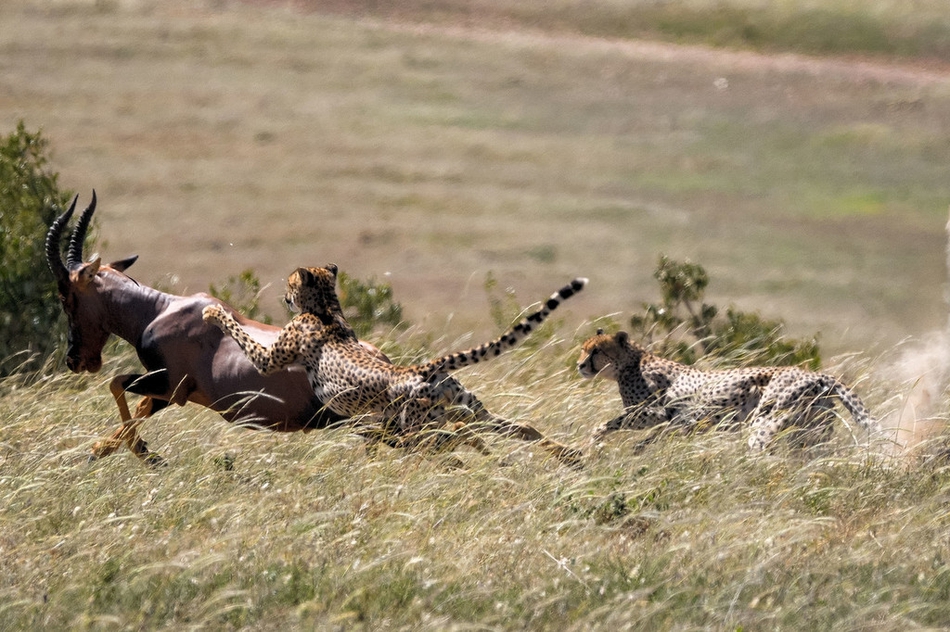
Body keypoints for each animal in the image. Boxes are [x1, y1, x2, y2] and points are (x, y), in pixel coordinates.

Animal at [45, 193, 372, 464]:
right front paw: (104, 450)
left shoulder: (169, 385)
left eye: (65, 296)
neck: (159, 310)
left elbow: (116, 383)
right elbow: (138, 407)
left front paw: (147, 454)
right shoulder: (171, 394)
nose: (75, 360)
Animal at [203, 264, 588, 466]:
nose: (285, 296)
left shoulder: (269, 360)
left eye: (290, 282)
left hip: (419, 429)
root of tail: (422, 369)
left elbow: (239, 331)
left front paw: (212, 310)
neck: (326, 308)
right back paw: (568, 456)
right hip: (469, 411)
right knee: (520, 427)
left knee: (452, 440)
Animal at [576, 328, 880, 452]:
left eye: (596, 351)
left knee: (759, 447)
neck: (632, 363)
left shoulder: (655, 412)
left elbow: (612, 422)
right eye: (583, 349)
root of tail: (816, 373)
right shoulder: (677, 420)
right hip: (812, 432)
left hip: (766, 420)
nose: (579, 365)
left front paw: (595, 438)